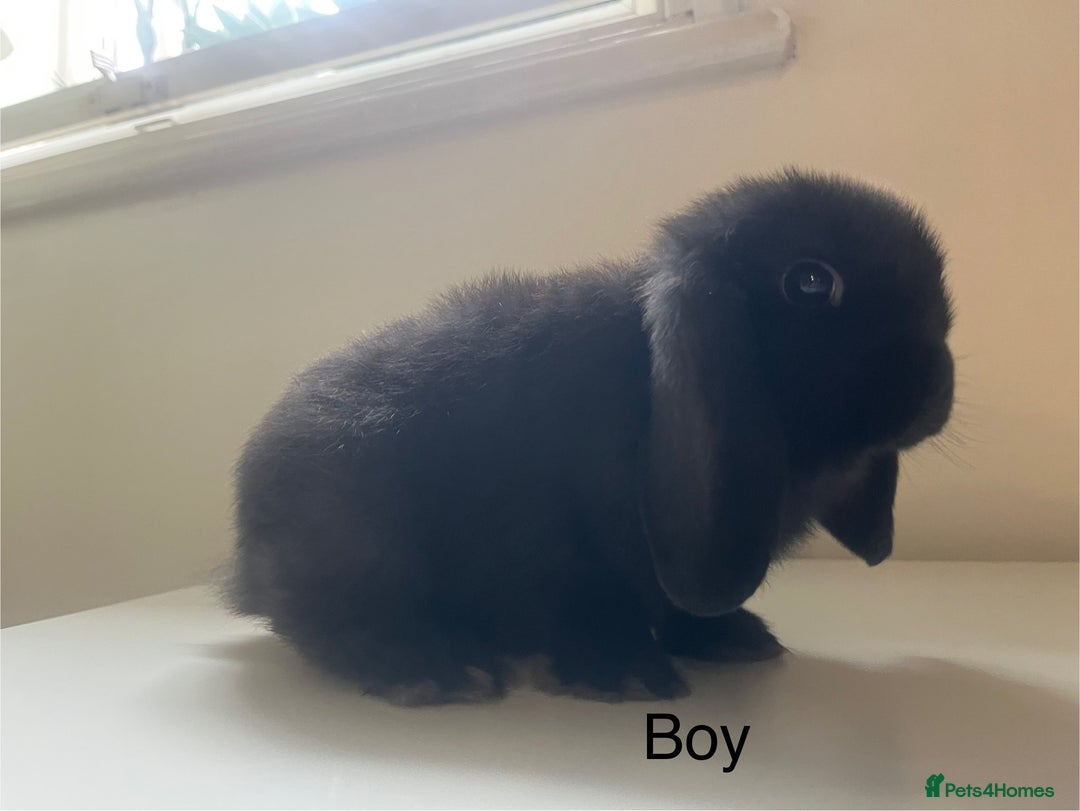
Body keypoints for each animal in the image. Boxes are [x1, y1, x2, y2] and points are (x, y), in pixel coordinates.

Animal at [225, 168, 955, 705]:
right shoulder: (565, 550)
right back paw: (437, 667)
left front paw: (734, 638)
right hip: (353, 536)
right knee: (328, 623)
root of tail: (242, 561)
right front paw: (625, 674)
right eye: (809, 281)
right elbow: (590, 606)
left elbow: (684, 610)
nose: (937, 384)